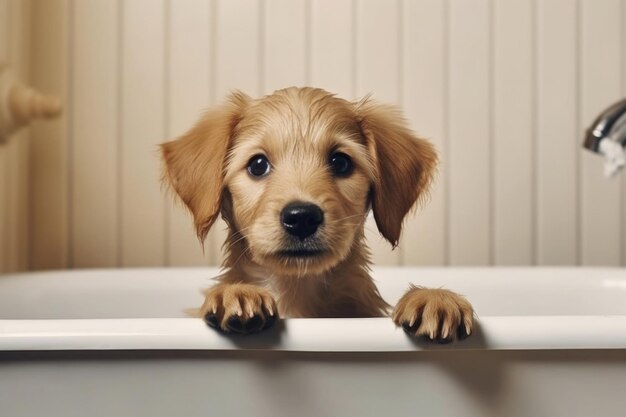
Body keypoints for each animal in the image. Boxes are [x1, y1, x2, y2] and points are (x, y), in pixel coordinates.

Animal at [161, 85, 472, 342]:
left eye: (341, 162)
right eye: (258, 164)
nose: (301, 218)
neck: (296, 291)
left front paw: (434, 299)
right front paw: (237, 292)